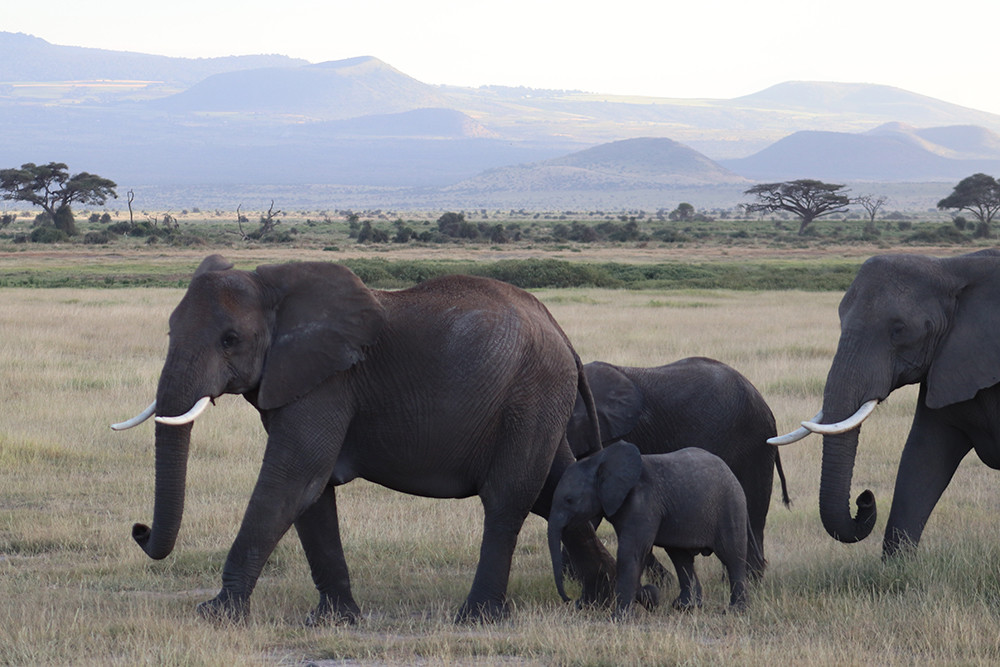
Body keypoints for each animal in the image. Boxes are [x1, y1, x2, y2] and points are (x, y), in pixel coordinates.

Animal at [112, 254, 616, 624]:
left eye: (230, 340)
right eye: (169, 330)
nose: (139, 530)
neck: (273, 289)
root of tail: (561, 333)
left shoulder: (329, 383)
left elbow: (293, 479)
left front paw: (217, 614)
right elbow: (311, 494)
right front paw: (335, 620)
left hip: (529, 394)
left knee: (508, 498)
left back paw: (477, 618)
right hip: (538, 402)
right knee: (556, 490)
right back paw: (608, 599)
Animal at [548, 442, 756, 616]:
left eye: (569, 500)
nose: (572, 601)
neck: (600, 460)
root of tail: (731, 472)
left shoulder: (644, 502)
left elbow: (630, 551)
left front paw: (620, 618)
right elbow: (637, 551)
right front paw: (647, 597)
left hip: (731, 506)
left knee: (732, 555)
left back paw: (735, 611)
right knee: (680, 557)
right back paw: (685, 607)